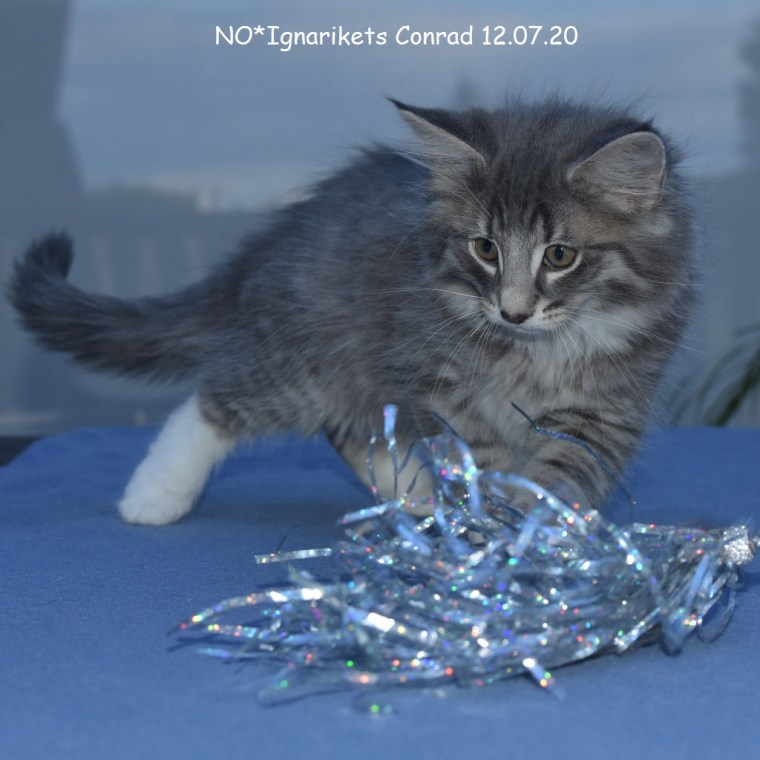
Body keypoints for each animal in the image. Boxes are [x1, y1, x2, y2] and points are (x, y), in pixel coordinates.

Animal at [9, 96, 694, 525]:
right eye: (486, 248)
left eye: (559, 255)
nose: (514, 311)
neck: (531, 353)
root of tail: (281, 235)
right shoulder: (441, 386)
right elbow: (480, 459)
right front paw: (494, 529)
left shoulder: (604, 409)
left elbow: (561, 476)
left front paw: (533, 538)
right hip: (304, 354)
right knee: (216, 402)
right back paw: (154, 495)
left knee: (347, 430)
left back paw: (413, 498)